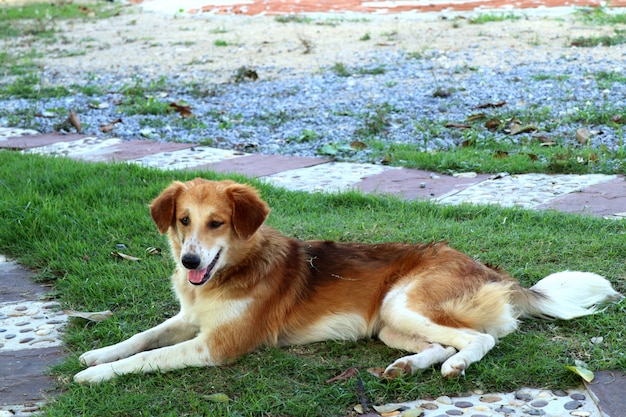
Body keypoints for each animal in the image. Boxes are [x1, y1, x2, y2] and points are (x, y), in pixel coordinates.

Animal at [74, 177, 620, 382]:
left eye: (217, 223)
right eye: (183, 220)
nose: (189, 262)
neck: (233, 270)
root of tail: (489, 269)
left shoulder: (218, 344)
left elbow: (149, 356)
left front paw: (97, 375)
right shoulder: (190, 318)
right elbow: (144, 336)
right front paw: (99, 354)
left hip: (405, 302)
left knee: (479, 339)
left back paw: (455, 367)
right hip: (390, 324)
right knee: (441, 341)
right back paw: (408, 366)